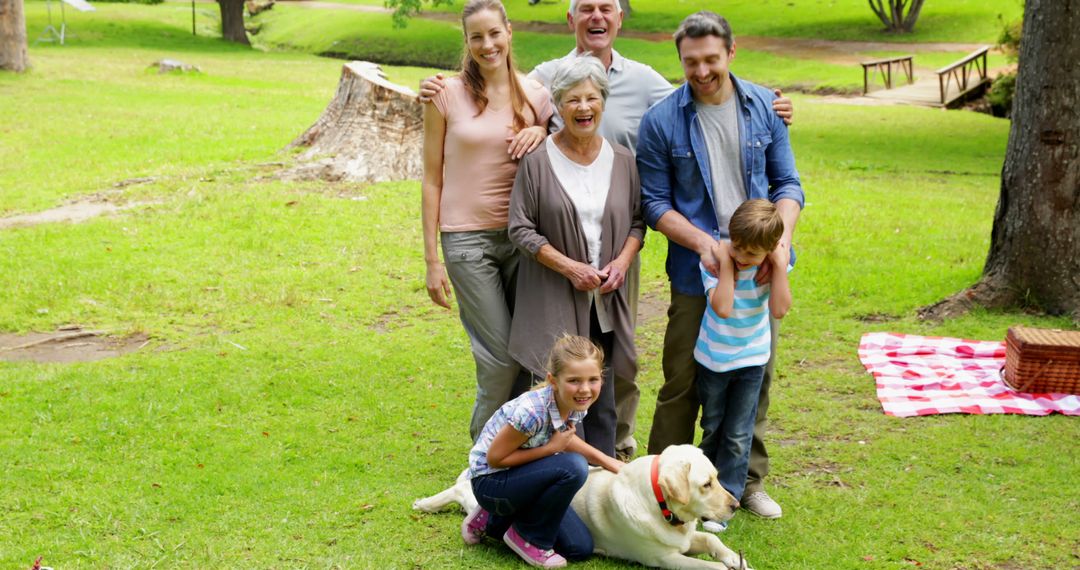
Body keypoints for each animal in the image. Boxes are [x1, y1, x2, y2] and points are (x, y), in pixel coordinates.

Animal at [412, 444, 751, 570]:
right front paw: (729, 564)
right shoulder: (663, 558)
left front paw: (737, 558)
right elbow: (711, 567)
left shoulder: (684, 538)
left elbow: (713, 540)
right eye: (705, 485)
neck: (662, 507)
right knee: (464, 498)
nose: (735, 505)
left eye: (717, 477)